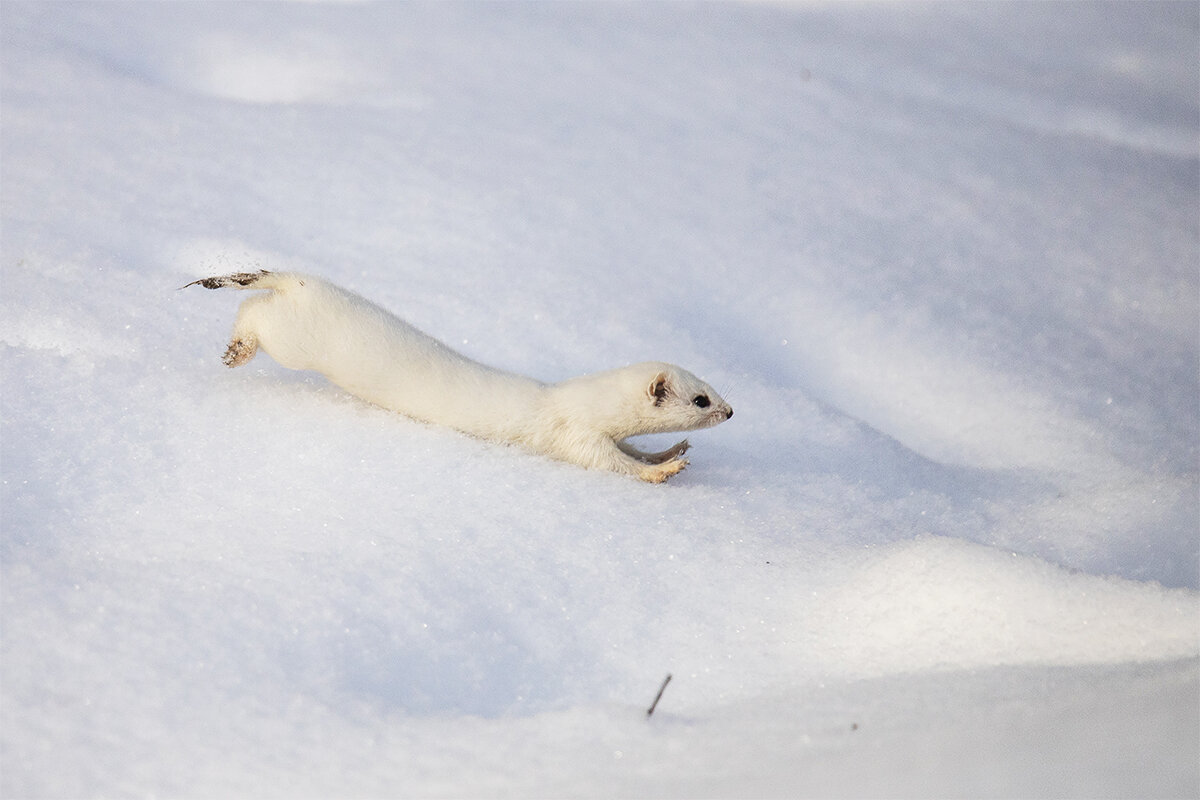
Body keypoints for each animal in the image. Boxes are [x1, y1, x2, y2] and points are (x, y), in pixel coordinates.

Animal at [187, 272, 729, 482]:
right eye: (700, 399)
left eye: (711, 386)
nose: (730, 409)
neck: (566, 399)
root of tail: (302, 282)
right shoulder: (573, 437)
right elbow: (611, 464)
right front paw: (666, 470)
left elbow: (633, 450)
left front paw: (671, 450)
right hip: (294, 339)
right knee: (253, 313)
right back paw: (236, 351)